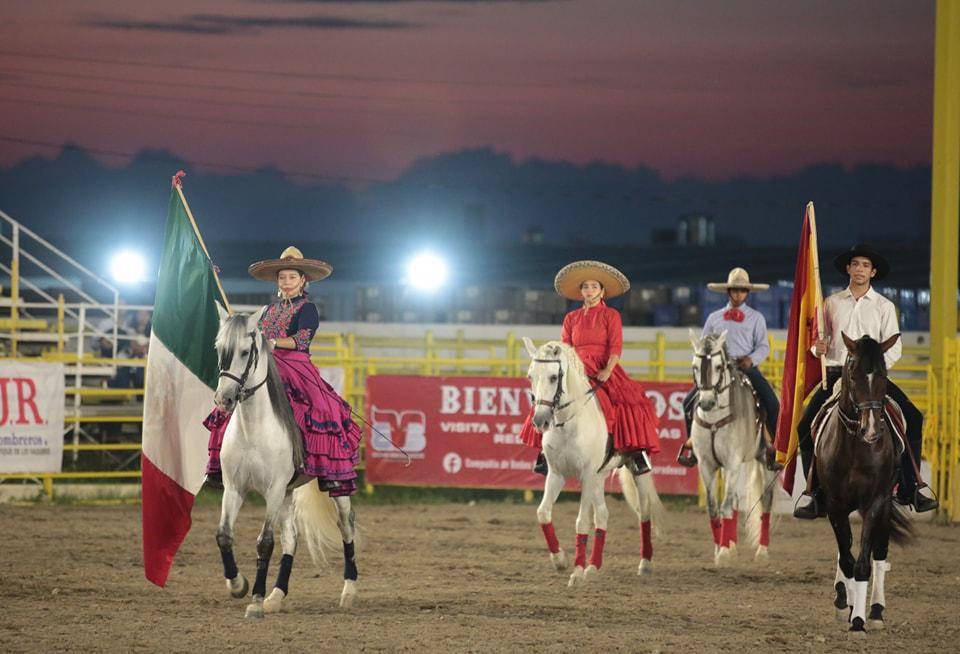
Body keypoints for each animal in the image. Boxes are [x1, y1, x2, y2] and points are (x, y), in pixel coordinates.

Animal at [212, 310, 358, 616]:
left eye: (245, 352)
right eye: (219, 349)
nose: (224, 399)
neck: (252, 430)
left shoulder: (274, 489)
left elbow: (265, 542)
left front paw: (255, 600)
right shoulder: (234, 488)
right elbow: (224, 535)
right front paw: (238, 585)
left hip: (336, 487)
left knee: (346, 527)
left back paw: (349, 591)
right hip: (288, 494)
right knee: (292, 537)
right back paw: (277, 594)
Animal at [520, 338, 664, 588]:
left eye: (553, 377)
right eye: (530, 376)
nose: (539, 421)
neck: (569, 423)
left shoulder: (586, 476)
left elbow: (582, 522)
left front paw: (576, 572)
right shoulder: (557, 475)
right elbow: (543, 512)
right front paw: (560, 560)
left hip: (635, 471)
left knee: (644, 512)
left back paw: (644, 563)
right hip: (598, 478)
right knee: (603, 514)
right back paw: (594, 566)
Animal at [688, 330, 776, 568]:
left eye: (719, 366)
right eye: (695, 366)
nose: (707, 403)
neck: (714, 419)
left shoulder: (733, 462)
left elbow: (726, 506)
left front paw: (724, 554)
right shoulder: (707, 465)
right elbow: (714, 507)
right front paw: (720, 548)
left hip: (764, 461)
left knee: (765, 501)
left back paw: (762, 551)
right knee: (736, 500)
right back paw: (733, 545)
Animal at [816, 334, 916, 636]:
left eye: (883, 374)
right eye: (854, 373)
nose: (871, 430)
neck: (855, 448)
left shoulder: (875, 503)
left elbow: (863, 563)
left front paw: (859, 620)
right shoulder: (835, 505)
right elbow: (847, 558)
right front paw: (848, 607)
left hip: (885, 506)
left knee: (879, 552)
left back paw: (876, 610)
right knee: (846, 551)